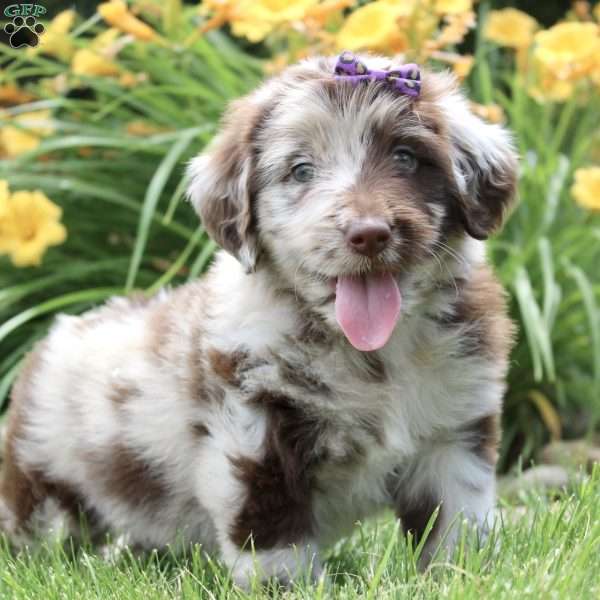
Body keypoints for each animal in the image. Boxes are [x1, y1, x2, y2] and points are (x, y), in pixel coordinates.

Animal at [0, 52, 516, 584]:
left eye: (406, 157)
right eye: (301, 170)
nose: (369, 234)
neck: (370, 356)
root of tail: (59, 332)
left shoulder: (452, 433)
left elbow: (455, 523)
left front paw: (463, 576)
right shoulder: (252, 440)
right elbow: (273, 538)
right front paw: (292, 589)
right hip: (40, 478)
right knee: (39, 532)